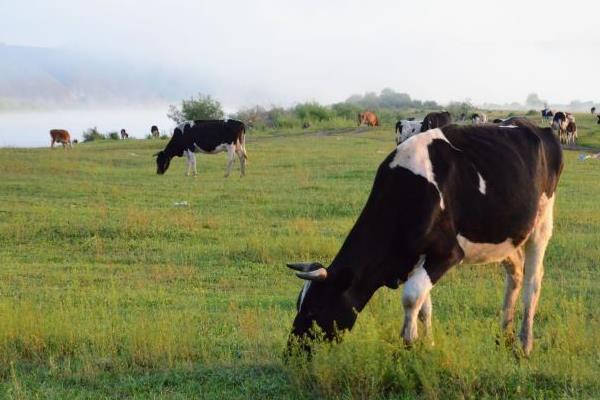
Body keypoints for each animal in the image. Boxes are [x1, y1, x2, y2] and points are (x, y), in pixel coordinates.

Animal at [286, 119, 564, 356]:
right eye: (299, 304)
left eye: (315, 309)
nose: (291, 351)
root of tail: (536, 127)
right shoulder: (414, 257)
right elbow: (423, 306)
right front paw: (427, 346)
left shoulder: (447, 252)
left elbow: (411, 298)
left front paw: (408, 345)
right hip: (505, 236)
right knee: (515, 273)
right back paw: (503, 337)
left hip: (542, 221)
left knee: (533, 280)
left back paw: (524, 344)